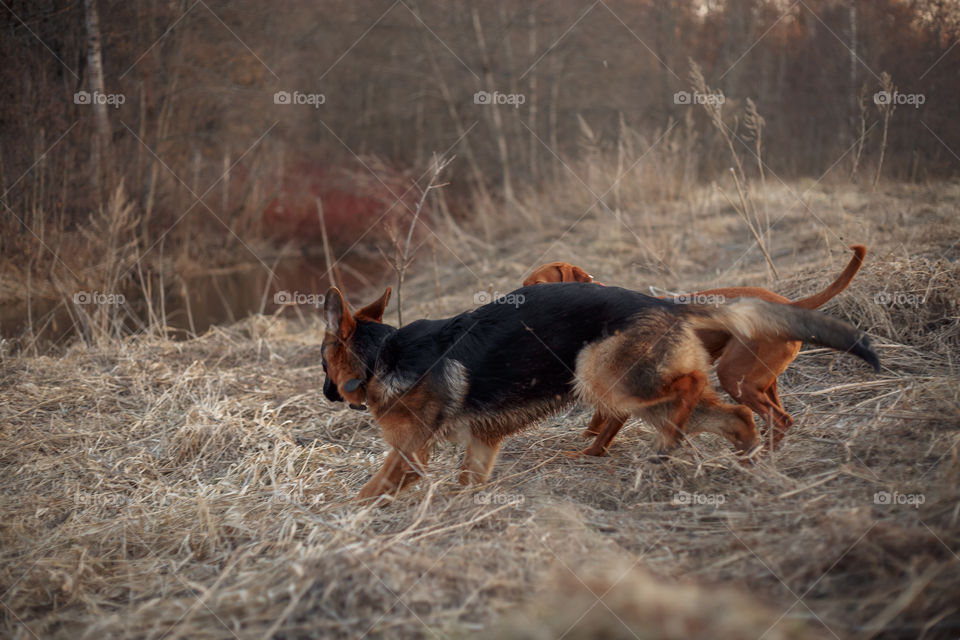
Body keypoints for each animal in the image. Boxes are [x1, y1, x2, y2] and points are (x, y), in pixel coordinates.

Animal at [322, 284, 876, 500]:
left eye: (321, 359)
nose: (328, 394)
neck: (382, 354)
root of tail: (670, 305)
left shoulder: (406, 453)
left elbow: (370, 489)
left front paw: (342, 515)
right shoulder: (480, 448)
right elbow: (467, 484)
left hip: (599, 375)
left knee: (694, 388)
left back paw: (675, 447)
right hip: (649, 399)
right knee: (736, 415)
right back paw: (746, 467)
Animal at [524, 242, 872, 452]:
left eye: (538, 288)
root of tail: (789, 305)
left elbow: (604, 433)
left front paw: (585, 454)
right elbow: (598, 420)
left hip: (735, 377)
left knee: (779, 420)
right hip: (761, 381)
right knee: (780, 418)